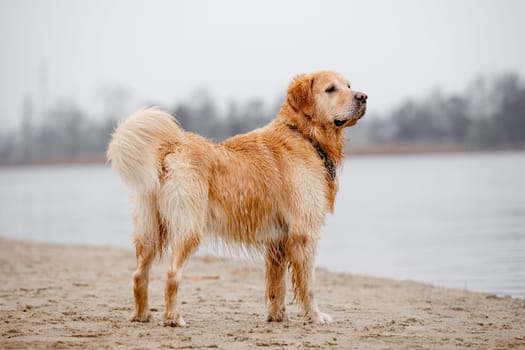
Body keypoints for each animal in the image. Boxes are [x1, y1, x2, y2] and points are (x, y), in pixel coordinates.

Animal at [107, 70, 364, 326]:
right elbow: (308, 284)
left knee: (139, 274)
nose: (363, 97)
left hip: (149, 229)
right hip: (188, 227)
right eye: (330, 89)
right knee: (172, 273)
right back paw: (173, 318)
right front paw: (316, 316)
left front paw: (277, 316)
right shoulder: (304, 233)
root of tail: (169, 148)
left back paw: (141, 315)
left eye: (349, 86)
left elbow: (277, 285)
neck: (304, 136)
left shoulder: (278, 241)